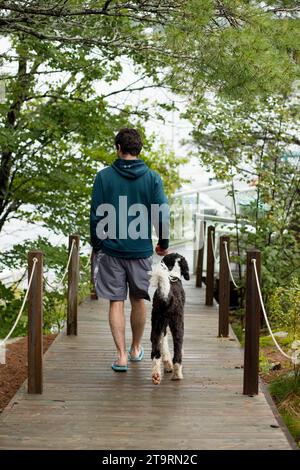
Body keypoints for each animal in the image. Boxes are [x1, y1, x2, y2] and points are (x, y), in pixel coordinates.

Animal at [150, 255, 190, 384]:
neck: (173, 275)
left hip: (156, 324)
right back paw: (177, 375)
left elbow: (163, 343)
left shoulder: (162, 325)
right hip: (178, 324)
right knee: (177, 351)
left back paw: (156, 375)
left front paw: (167, 365)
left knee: (155, 353)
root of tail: (166, 297)